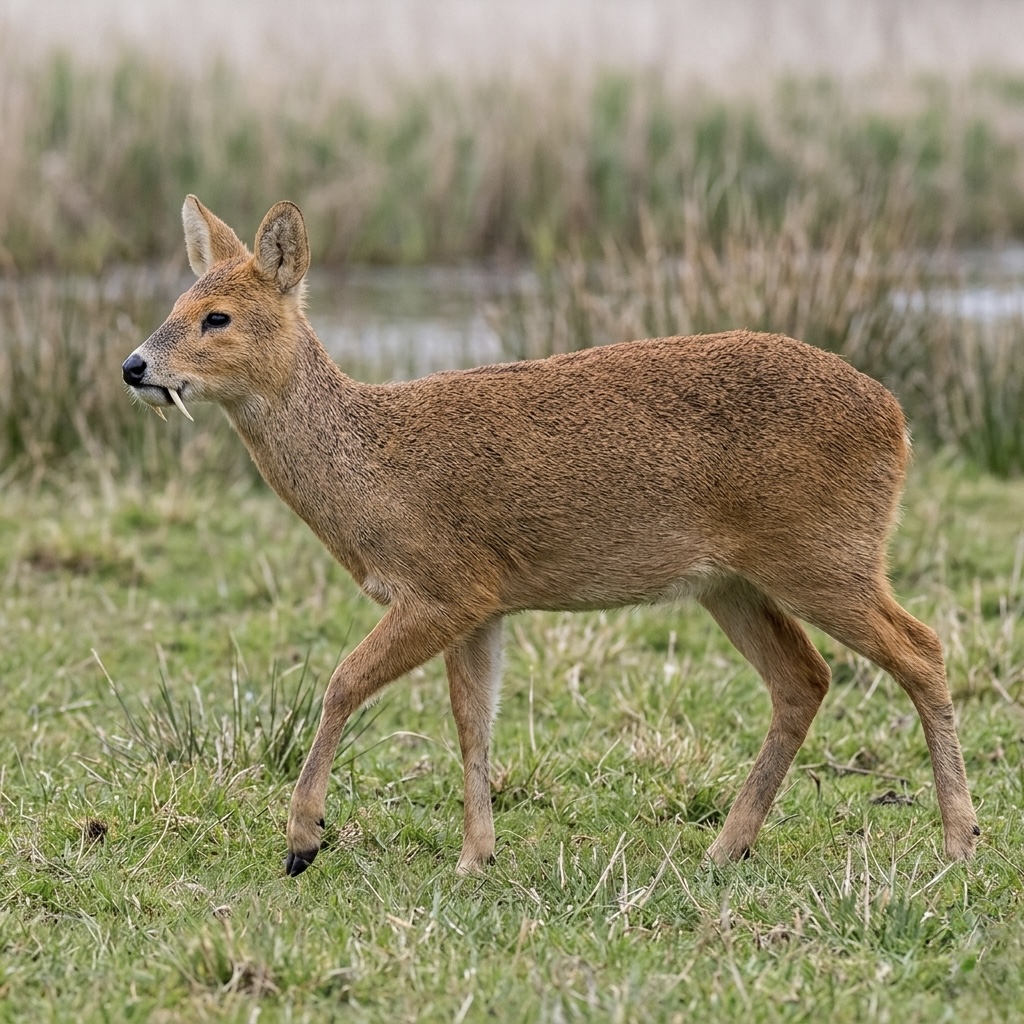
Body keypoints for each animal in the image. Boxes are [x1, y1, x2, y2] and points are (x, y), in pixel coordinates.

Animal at [121, 197, 979, 878]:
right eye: (175, 301)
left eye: (217, 316)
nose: (134, 366)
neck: (371, 465)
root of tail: (897, 417)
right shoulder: (484, 605)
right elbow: (473, 724)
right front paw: (475, 857)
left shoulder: (444, 585)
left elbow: (341, 683)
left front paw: (303, 839)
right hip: (733, 582)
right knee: (805, 678)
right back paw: (725, 847)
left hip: (825, 555)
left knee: (922, 648)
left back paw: (960, 841)